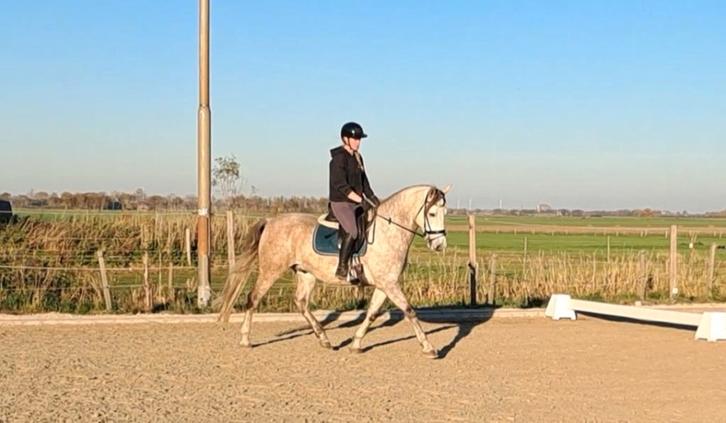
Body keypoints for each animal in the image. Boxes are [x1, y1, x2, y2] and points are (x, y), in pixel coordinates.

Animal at [217, 184, 450, 358]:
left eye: (445, 213)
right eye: (432, 213)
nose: (439, 245)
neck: (389, 231)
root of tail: (271, 221)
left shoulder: (385, 285)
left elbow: (372, 314)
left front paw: (356, 344)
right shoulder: (390, 285)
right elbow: (409, 311)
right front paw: (429, 347)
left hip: (306, 274)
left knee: (301, 302)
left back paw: (324, 339)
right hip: (271, 270)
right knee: (253, 298)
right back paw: (245, 339)